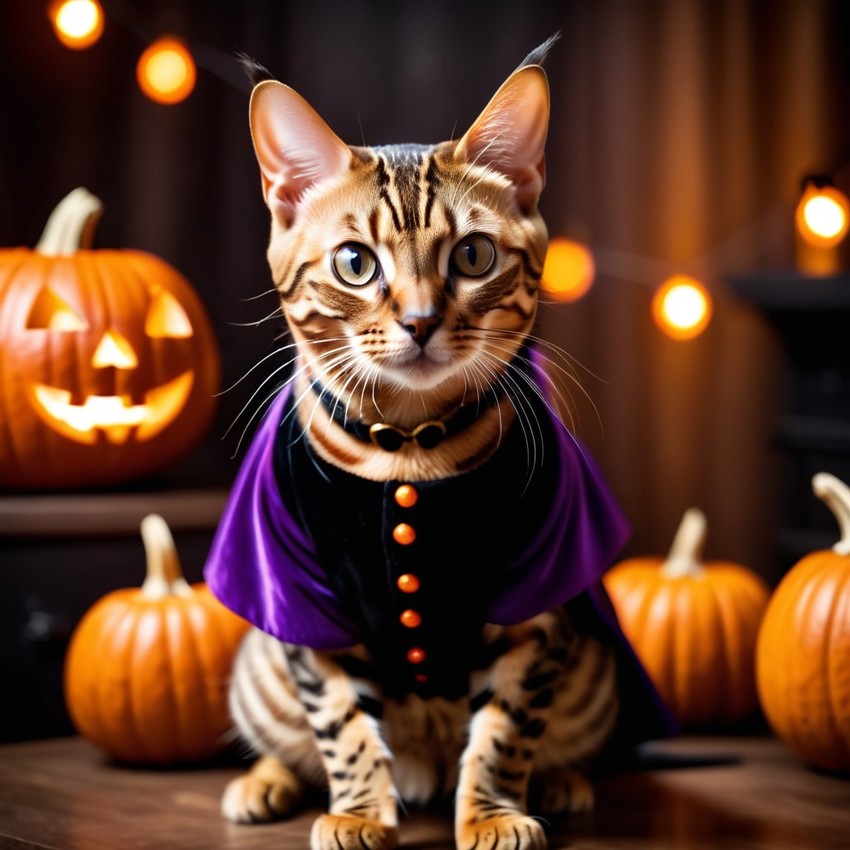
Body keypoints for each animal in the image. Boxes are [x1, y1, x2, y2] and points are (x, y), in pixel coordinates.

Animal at [205, 36, 668, 848]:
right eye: (355, 263)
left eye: (474, 257)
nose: (420, 320)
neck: (409, 443)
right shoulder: (302, 599)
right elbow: (342, 726)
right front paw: (358, 811)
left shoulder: (536, 600)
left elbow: (507, 728)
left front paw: (491, 812)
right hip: (258, 667)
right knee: (287, 740)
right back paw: (265, 782)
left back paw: (564, 780)